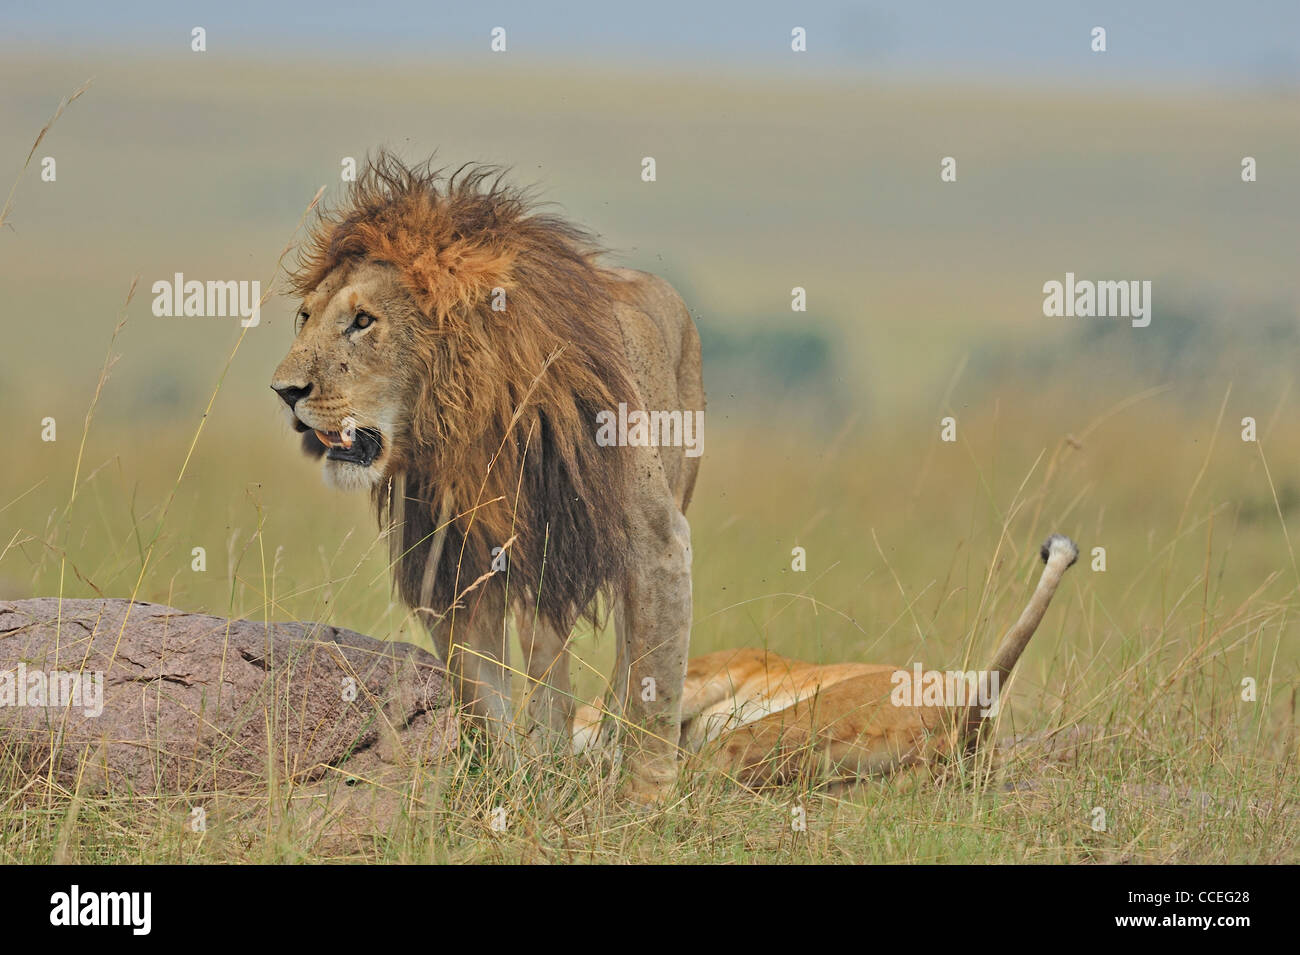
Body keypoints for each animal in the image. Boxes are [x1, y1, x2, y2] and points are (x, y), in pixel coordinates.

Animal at [270, 153, 703, 802]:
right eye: (304, 317)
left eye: (363, 321)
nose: (284, 391)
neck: (479, 418)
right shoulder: (454, 560)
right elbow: (480, 690)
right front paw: (509, 785)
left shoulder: (655, 544)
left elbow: (653, 687)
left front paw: (644, 802)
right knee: (547, 653)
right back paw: (551, 750)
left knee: (628, 659)